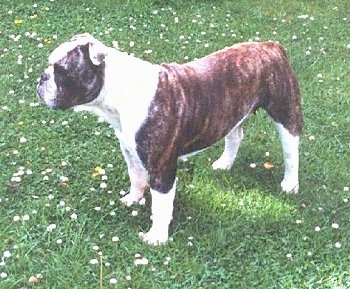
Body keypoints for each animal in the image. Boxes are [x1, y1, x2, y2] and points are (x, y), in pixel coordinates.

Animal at [37, 34, 300, 245]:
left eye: (61, 71)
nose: (42, 77)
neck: (118, 95)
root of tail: (271, 46)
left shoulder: (162, 166)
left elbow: (161, 204)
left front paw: (157, 237)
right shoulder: (130, 151)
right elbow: (135, 177)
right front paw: (133, 199)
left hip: (286, 112)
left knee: (291, 151)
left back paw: (290, 184)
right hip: (232, 111)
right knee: (235, 134)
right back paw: (224, 163)